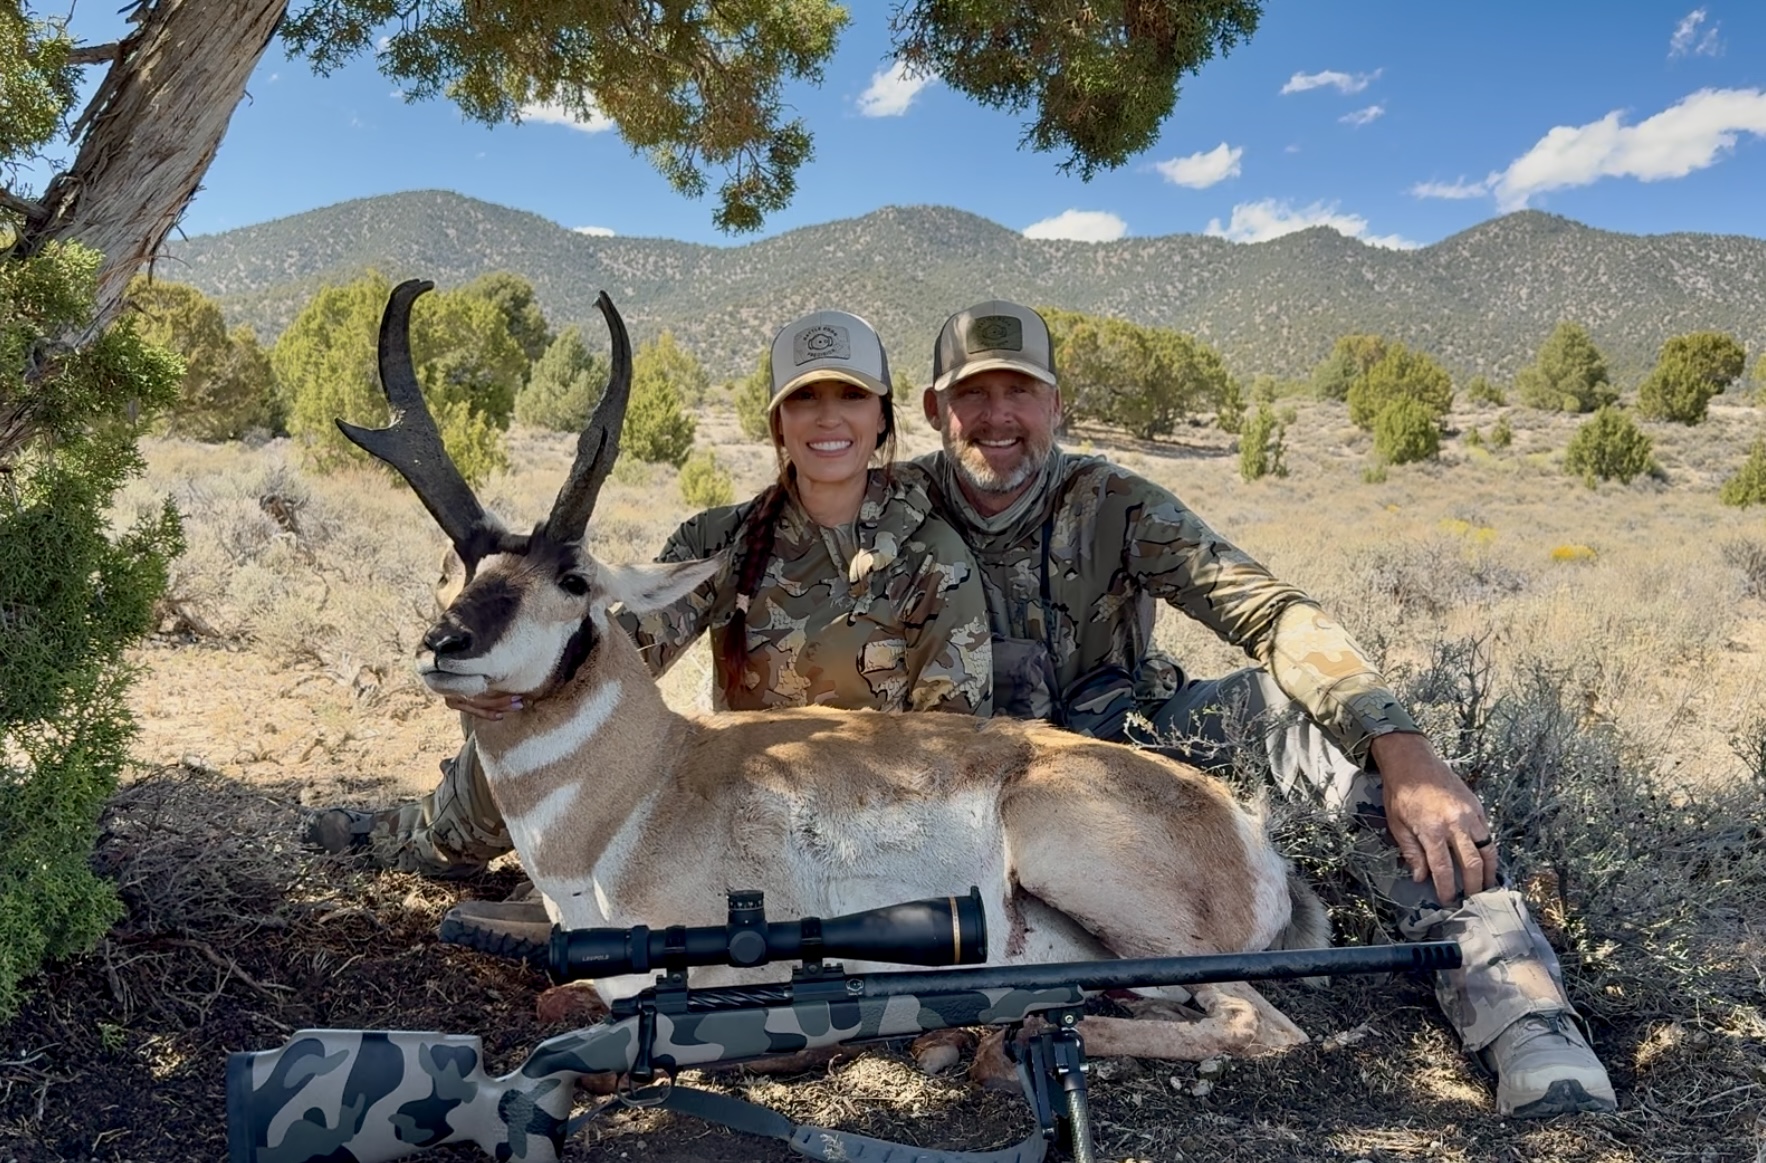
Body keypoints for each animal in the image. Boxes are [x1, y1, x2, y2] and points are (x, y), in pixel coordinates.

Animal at [339, 279, 1329, 1064]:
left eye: (575, 579)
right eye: (461, 569)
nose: (444, 644)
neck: (647, 780)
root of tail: (1247, 831)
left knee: (1259, 1021)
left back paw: (1010, 1042)